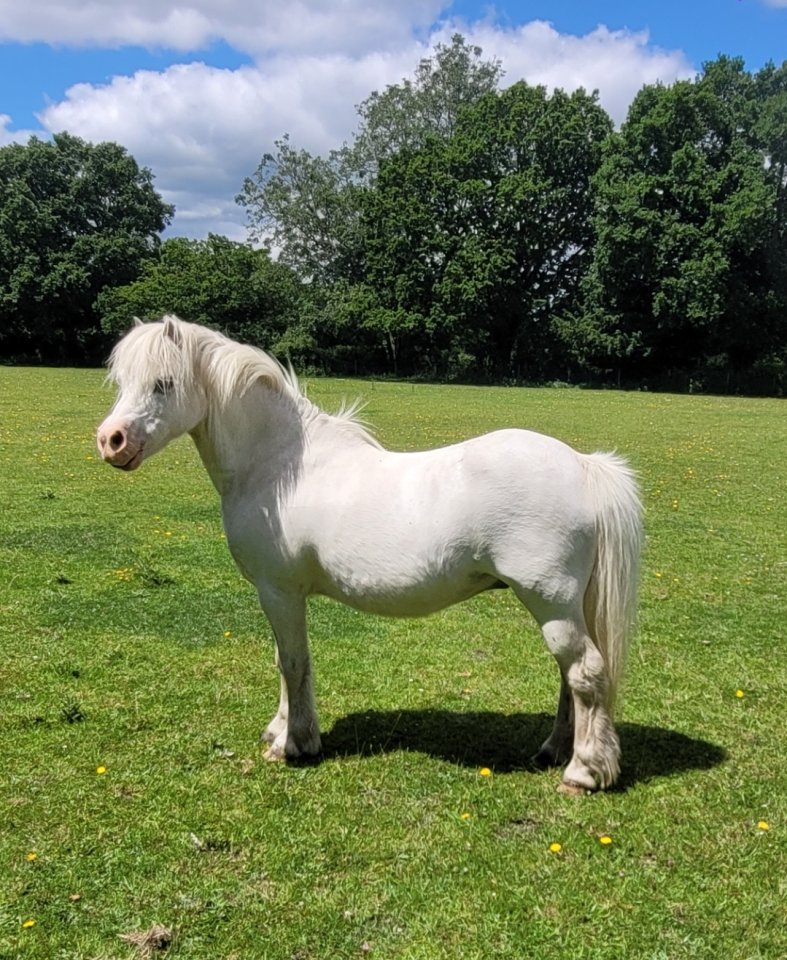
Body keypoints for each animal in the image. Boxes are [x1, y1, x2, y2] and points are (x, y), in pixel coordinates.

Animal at [97, 316, 643, 794]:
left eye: (163, 384)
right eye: (121, 381)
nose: (110, 441)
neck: (278, 466)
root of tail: (584, 465)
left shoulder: (279, 592)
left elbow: (293, 662)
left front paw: (293, 744)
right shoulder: (280, 596)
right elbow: (283, 661)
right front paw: (280, 729)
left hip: (550, 602)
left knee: (586, 673)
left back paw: (582, 773)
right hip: (564, 606)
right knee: (571, 678)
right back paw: (555, 750)